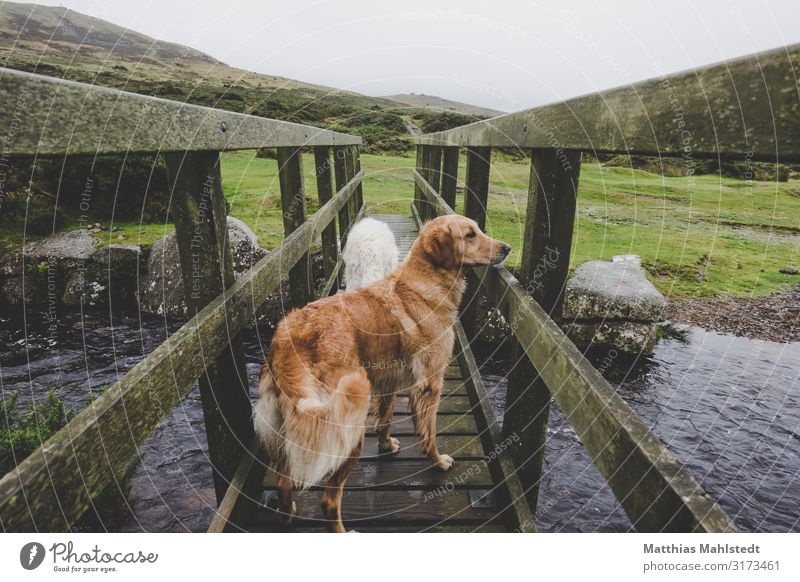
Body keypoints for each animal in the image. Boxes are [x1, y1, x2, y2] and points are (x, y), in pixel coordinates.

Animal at [253, 216, 510, 532]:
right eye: (471, 234)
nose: (507, 248)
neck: (425, 283)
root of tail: (288, 337)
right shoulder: (430, 384)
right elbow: (429, 433)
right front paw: (437, 461)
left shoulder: (390, 379)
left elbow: (386, 419)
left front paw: (387, 445)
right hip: (347, 426)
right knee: (329, 499)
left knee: (283, 480)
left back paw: (287, 512)